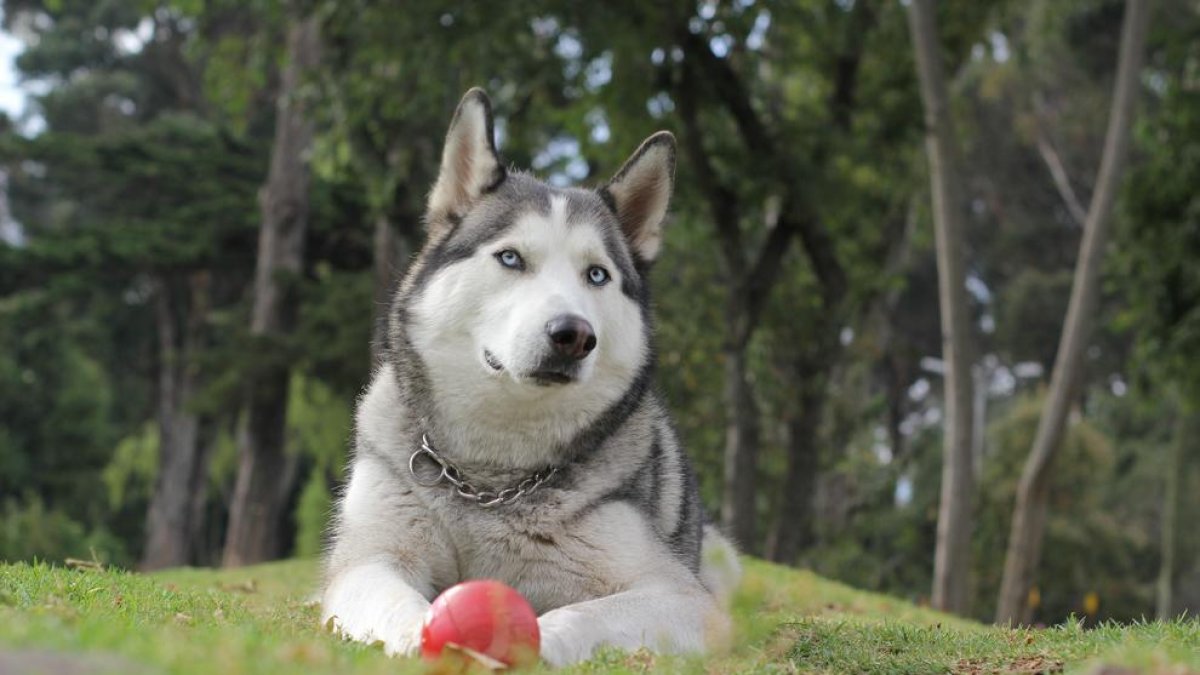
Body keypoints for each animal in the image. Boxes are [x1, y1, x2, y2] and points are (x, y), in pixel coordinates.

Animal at [319, 88, 739, 662]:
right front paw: (425, 637)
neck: (490, 481)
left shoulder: (682, 597)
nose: (574, 335)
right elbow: (395, 601)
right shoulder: (367, 560)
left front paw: (535, 645)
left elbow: (583, 615)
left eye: (597, 274)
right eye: (511, 258)